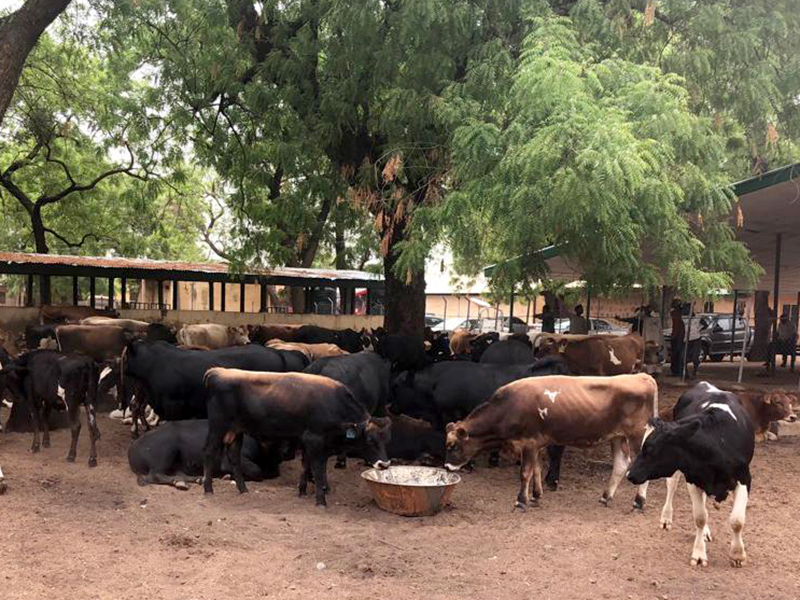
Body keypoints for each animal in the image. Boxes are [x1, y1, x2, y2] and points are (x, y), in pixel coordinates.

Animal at [126, 420, 286, 490]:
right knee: (155, 475)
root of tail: (133, 447)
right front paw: (229, 476)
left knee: (178, 473)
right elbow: (256, 471)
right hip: (166, 454)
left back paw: (194, 480)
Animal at [203, 370, 390, 506]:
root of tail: (218, 371)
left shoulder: (308, 442)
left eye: (386, 440)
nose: (385, 464)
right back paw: (208, 489)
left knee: (234, 457)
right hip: (217, 427)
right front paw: (320, 500)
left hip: (236, 431)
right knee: (209, 452)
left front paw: (302, 491)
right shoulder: (314, 440)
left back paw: (243, 490)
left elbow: (306, 466)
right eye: (369, 440)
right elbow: (318, 469)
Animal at [444, 376, 656, 510]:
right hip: (617, 437)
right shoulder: (536, 444)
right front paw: (536, 496)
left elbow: (525, 473)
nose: (446, 467)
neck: (508, 407)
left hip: (637, 435)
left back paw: (639, 501)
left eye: (454, 447)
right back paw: (605, 497)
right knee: (621, 464)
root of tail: (640, 376)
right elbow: (537, 470)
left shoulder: (528, 443)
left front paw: (521, 501)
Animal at [628, 382, 752, 568]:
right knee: (672, 486)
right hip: (679, 472)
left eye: (650, 449)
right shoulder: (692, 478)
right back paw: (667, 518)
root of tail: (705, 384)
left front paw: (737, 554)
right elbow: (700, 517)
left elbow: (737, 520)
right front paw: (699, 554)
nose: (630, 474)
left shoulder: (744, 478)